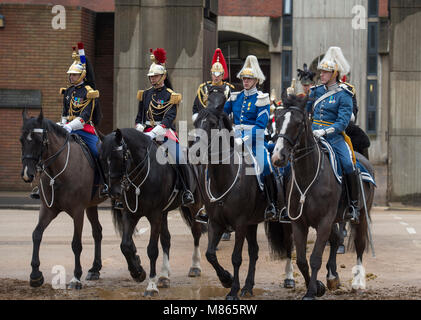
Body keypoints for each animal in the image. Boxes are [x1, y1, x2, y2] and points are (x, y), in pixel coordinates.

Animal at [100, 128, 208, 298]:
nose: (114, 192)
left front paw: (151, 286)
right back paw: (164, 276)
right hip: (164, 213)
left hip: (194, 204)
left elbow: (152, 250)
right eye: (103, 159)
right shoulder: (130, 214)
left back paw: (195, 267)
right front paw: (137, 272)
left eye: (121, 156)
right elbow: (125, 245)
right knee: (166, 240)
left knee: (196, 232)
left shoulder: (155, 215)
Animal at [190, 85, 292, 300]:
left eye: (212, 123)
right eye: (196, 122)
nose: (194, 151)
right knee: (254, 251)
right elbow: (210, 254)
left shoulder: (240, 223)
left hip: (284, 220)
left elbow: (236, 257)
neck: (224, 178)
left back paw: (289, 279)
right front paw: (226, 279)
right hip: (253, 223)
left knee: (289, 247)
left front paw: (233, 290)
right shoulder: (216, 222)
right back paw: (248, 287)